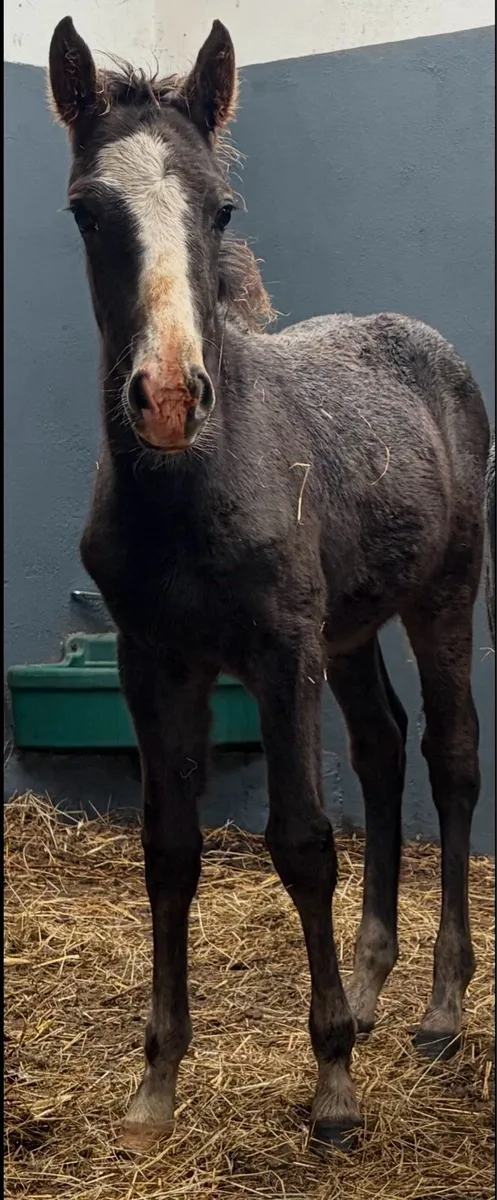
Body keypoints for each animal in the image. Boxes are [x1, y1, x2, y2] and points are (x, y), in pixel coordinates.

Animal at [49, 16, 490, 1152]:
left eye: (221, 208)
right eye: (86, 211)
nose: (167, 397)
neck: (192, 488)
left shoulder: (280, 652)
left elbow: (300, 842)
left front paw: (331, 1088)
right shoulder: (154, 662)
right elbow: (168, 848)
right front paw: (155, 1086)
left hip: (443, 594)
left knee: (449, 756)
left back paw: (437, 1008)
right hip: (352, 627)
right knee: (380, 748)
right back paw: (372, 993)